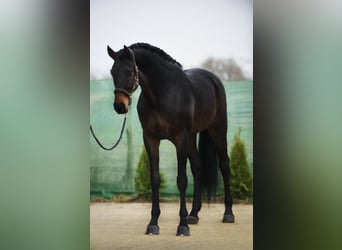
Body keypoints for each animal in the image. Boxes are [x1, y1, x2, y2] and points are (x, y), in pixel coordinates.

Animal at [107, 43, 235, 236]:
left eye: (129, 71)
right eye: (112, 72)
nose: (120, 106)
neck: (162, 93)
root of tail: (213, 79)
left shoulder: (180, 139)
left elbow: (181, 180)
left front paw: (182, 226)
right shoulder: (151, 139)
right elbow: (155, 179)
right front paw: (153, 224)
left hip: (217, 130)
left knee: (225, 165)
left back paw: (228, 214)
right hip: (192, 137)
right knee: (197, 167)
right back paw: (194, 214)